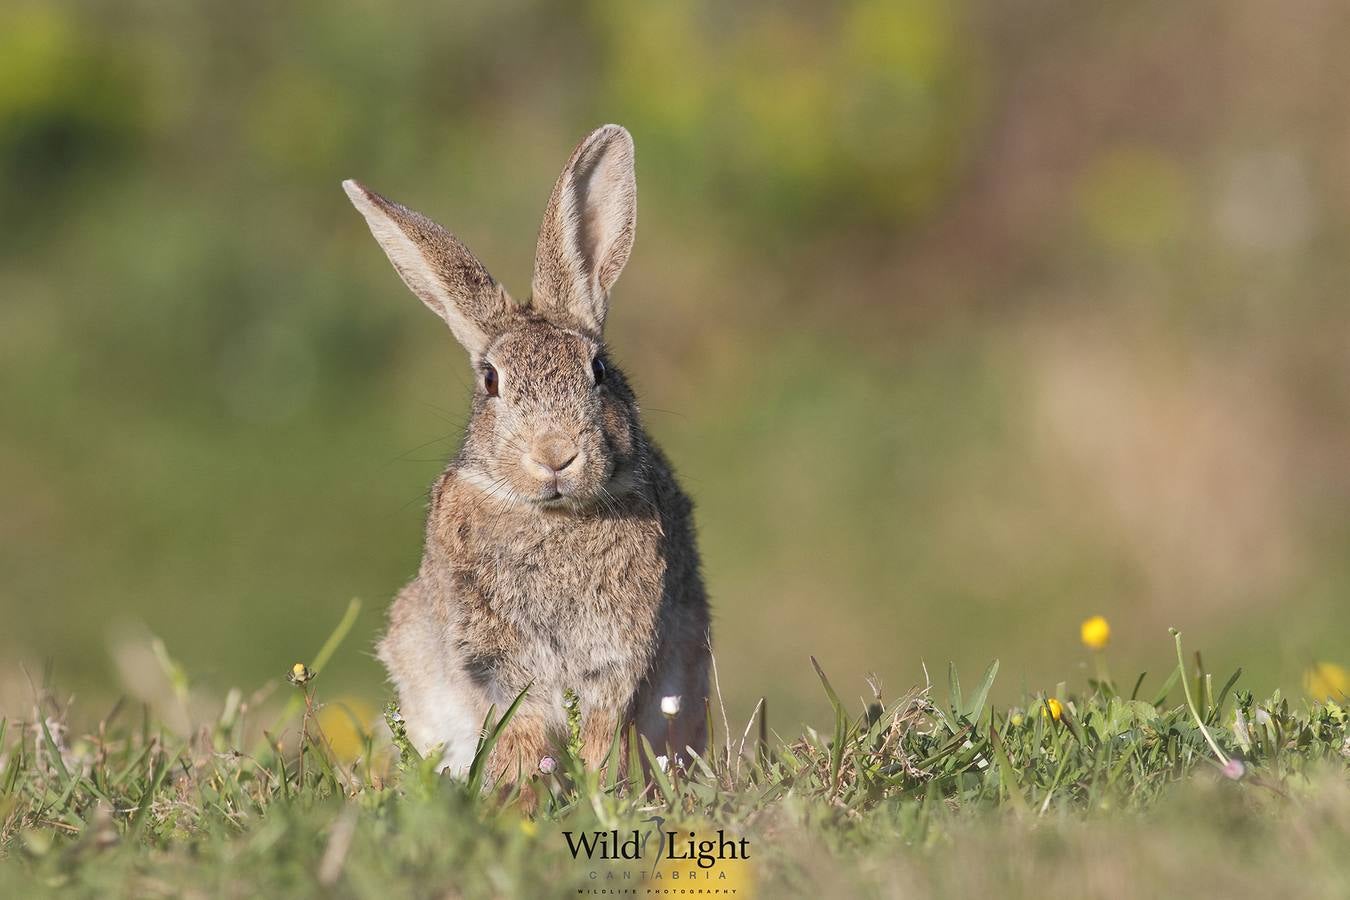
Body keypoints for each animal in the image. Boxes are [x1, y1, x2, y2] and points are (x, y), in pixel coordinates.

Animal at [342, 123, 712, 782]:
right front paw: (521, 790)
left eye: (597, 370)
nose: (555, 454)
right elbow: (524, 730)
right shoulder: (493, 662)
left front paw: (599, 787)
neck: (552, 516)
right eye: (491, 381)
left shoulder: (617, 661)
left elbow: (601, 731)